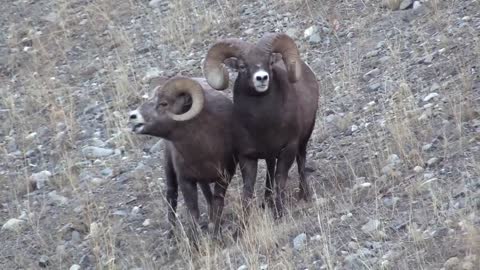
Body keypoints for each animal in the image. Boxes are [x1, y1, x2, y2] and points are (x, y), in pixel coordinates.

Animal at [127, 76, 236, 238]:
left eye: (164, 103)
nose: (133, 116)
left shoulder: (224, 178)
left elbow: (217, 205)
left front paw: (216, 234)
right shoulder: (186, 181)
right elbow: (193, 213)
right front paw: (195, 240)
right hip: (170, 170)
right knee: (171, 197)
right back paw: (172, 236)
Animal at [202, 33, 318, 219]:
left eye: (269, 62)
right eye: (242, 66)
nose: (262, 78)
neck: (262, 126)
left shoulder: (288, 149)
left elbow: (280, 179)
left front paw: (279, 213)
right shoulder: (247, 157)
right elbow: (248, 190)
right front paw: (244, 223)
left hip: (302, 141)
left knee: (301, 162)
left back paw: (303, 195)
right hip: (270, 155)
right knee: (270, 170)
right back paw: (266, 201)